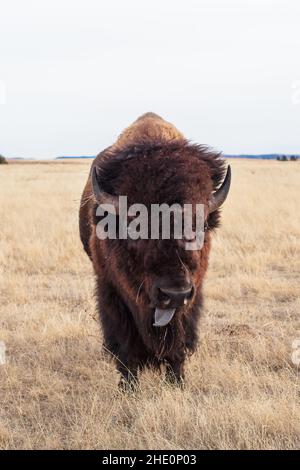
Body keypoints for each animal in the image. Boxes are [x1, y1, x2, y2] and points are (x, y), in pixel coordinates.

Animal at [78, 112, 231, 388]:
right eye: (134, 225)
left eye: (202, 224)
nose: (175, 294)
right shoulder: (111, 290)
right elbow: (126, 345)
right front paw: (128, 387)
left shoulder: (192, 296)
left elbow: (178, 343)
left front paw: (177, 382)